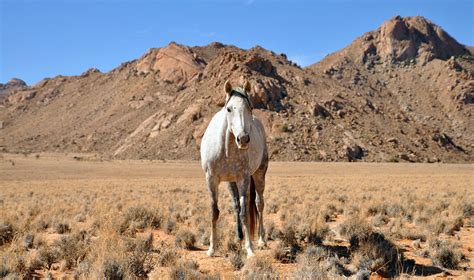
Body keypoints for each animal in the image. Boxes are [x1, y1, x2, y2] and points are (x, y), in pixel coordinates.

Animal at [199, 80, 268, 258]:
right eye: (229, 109)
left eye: (250, 107)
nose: (243, 139)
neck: (226, 149)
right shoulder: (211, 179)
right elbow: (214, 212)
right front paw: (212, 248)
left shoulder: (243, 179)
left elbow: (245, 214)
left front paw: (249, 249)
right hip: (231, 182)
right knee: (236, 204)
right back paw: (239, 236)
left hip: (259, 174)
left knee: (259, 204)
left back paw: (261, 240)